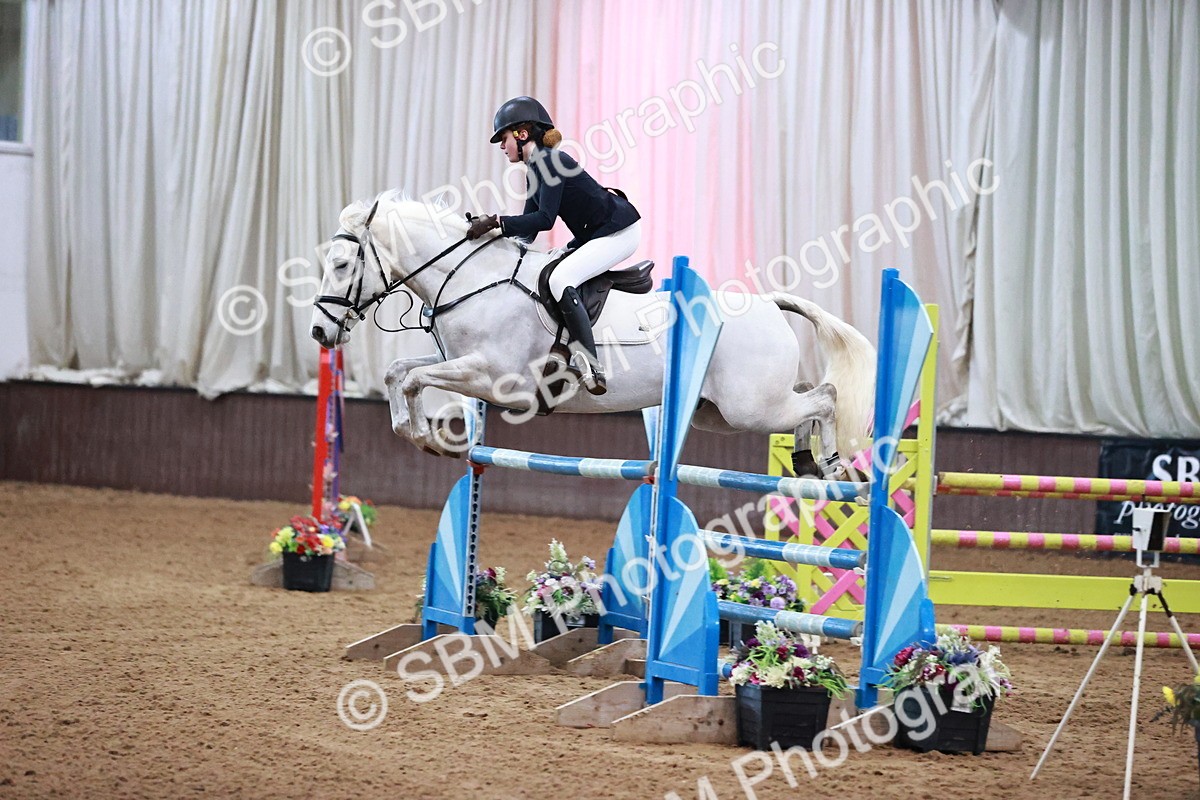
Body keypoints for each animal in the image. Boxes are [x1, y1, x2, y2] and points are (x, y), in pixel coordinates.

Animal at [309, 194, 876, 476]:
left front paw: (429, 438)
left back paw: (829, 462)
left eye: (342, 265)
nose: (318, 331)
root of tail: (767, 304)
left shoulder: (496, 379)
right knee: (805, 397)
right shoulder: (462, 363)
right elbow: (399, 372)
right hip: (721, 411)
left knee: (824, 396)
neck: (471, 279)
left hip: (748, 408)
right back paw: (806, 459)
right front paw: (416, 433)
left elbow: (412, 379)